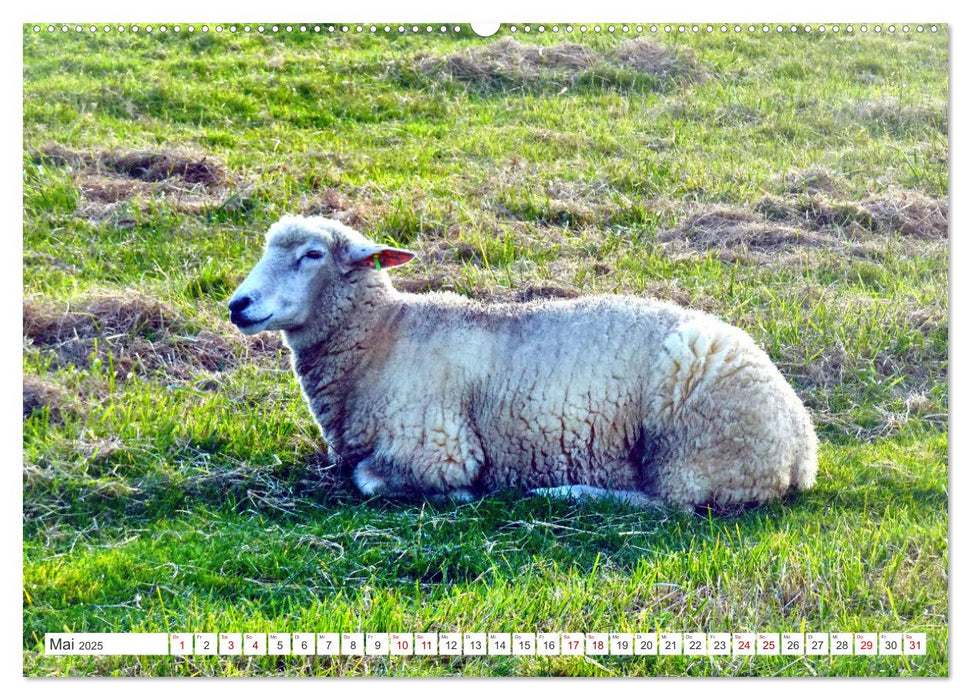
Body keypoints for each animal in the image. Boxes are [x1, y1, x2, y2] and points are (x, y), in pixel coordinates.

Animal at [232, 215, 816, 508]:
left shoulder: (439, 448)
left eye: (312, 255)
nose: (238, 305)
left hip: (693, 446)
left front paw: (463, 494)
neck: (382, 335)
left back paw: (566, 493)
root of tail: (801, 447)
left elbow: (370, 480)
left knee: (668, 504)